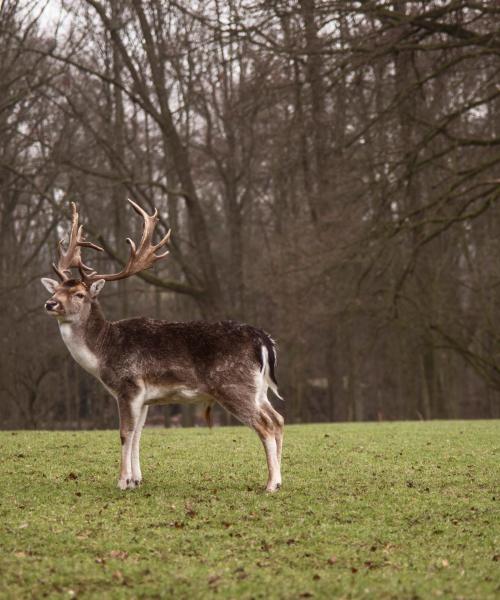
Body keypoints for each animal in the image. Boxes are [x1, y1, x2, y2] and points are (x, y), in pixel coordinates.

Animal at [41, 202, 284, 492]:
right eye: (56, 291)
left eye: (79, 294)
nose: (50, 304)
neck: (103, 353)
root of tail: (263, 339)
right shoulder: (145, 397)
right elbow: (138, 434)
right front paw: (136, 480)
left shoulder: (128, 386)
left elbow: (125, 433)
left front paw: (122, 481)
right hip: (258, 389)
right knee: (278, 419)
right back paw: (280, 479)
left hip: (233, 386)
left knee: (265, 425)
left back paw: (271, 484)